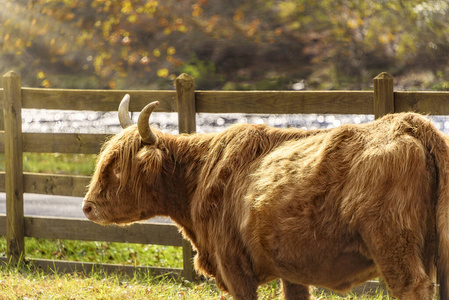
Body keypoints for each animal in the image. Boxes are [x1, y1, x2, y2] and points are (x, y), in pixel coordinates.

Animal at [82, 94, 448, 300]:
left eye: (117, 168)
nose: (87, 207)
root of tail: (411, 123)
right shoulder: (292, 270)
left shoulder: (235, 268)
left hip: (392, 243)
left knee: (412, 287)